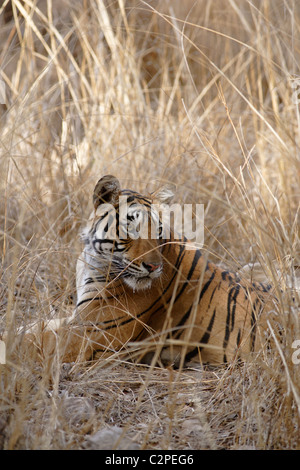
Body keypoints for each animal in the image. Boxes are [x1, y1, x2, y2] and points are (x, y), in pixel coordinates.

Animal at [19, 174, 278, 366]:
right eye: (131, 228)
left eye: (159, 230)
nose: (154, 267)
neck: (93, 258)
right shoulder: (78, 319)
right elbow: (34, 327)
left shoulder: (91, 333)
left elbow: (31, 342)